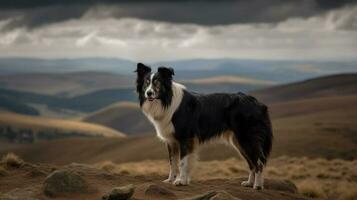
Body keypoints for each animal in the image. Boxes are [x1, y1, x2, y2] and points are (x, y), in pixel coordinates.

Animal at [135, 62, 272, 189]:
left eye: (157, 82)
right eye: (146, 83)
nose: (149, 93)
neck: (167, 100)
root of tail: (257, 102)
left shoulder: (185, 138)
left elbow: (182, 162)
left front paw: (180, 181)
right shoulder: (171, 141)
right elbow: (172, 162)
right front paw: (171, 179)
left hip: (246, 138)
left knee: (259, 161)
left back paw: (257, 186)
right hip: (238, 141)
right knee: (251, 163)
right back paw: (249, 183)